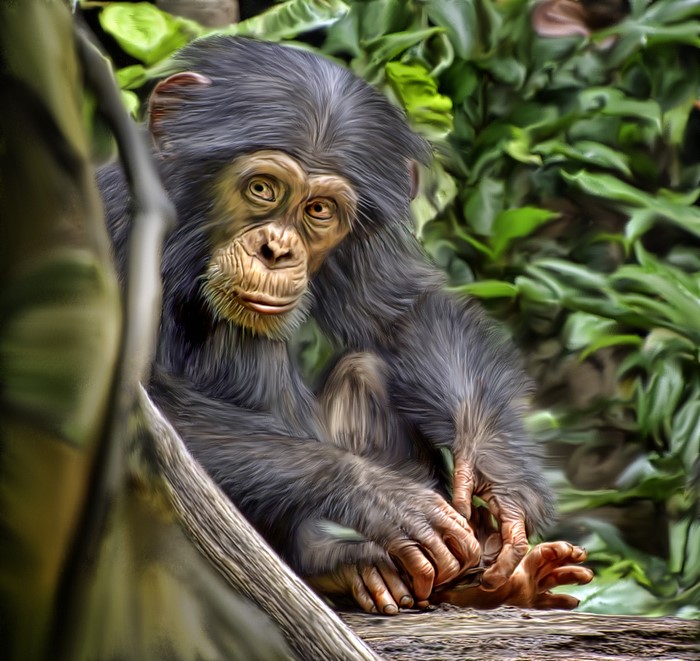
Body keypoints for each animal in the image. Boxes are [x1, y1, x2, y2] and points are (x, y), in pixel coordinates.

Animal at [98, 36, 590, 614]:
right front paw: (381, 497)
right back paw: (335, 563)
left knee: (364, 368)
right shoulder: (117, 221)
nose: (277, 249)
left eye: (319, 210)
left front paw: (497, 472)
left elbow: (399, 312)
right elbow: (130, 402)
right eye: (262, 188)